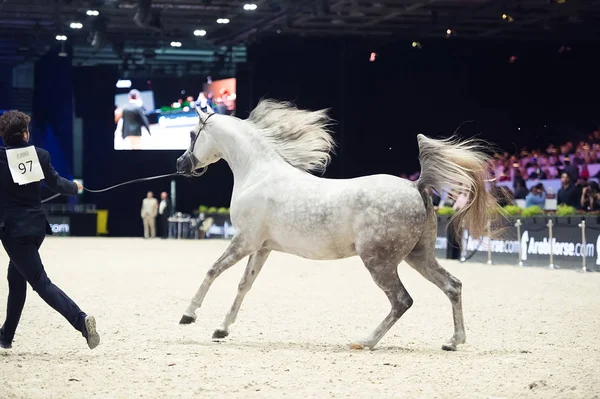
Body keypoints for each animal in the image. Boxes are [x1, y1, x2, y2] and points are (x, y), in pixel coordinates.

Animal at [176, 99, 500, 350]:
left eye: (192, 134)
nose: (181, 164)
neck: (259, 174)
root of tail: (415, 185)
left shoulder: (244, 240)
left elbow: (213, 270)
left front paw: (188, 315)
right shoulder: (262, 247)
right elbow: (245, 284)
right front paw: (222, 329)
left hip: (379, 262)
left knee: (402, 301)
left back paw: (364, 341)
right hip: (418, 256)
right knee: (452, 286)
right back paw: (453, 341)